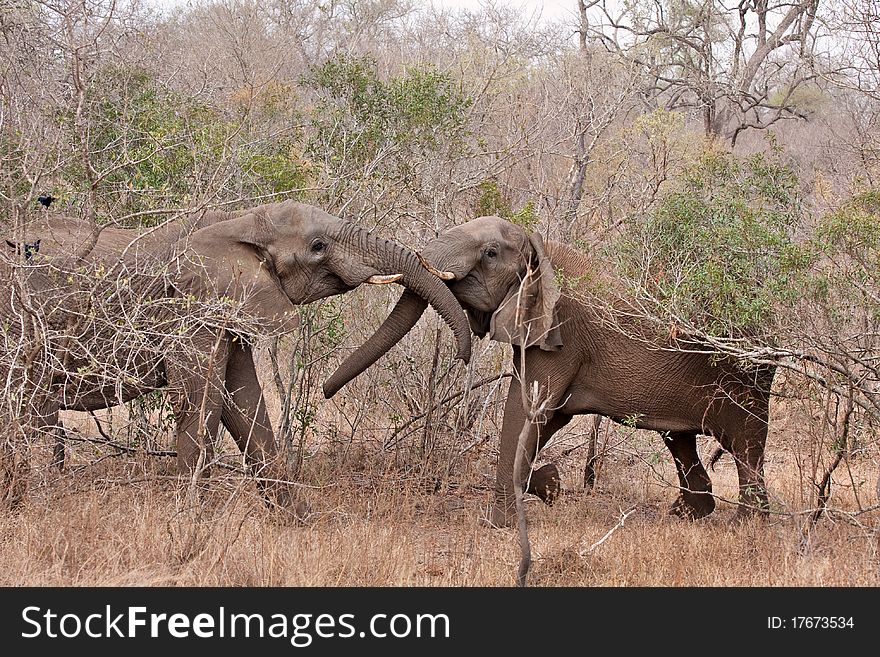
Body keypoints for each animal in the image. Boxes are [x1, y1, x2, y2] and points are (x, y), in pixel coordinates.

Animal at [1, 197, 474, 516]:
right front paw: (189, 519)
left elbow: (244, 401)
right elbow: (203, 397)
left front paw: (295, 519)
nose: (326, 390)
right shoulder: (193, 308)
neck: (240, 223)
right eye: (318, 246)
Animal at [324, 218, 776, 524]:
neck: (539, 248)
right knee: (679, 439)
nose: (326, 391)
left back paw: (745, 525)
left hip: (745, 378)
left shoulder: (561, 331)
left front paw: (506, 520)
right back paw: (688, 513)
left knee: (744, 443)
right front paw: (549, 485)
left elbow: (528, 410)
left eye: (490, 254)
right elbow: (546, 418)